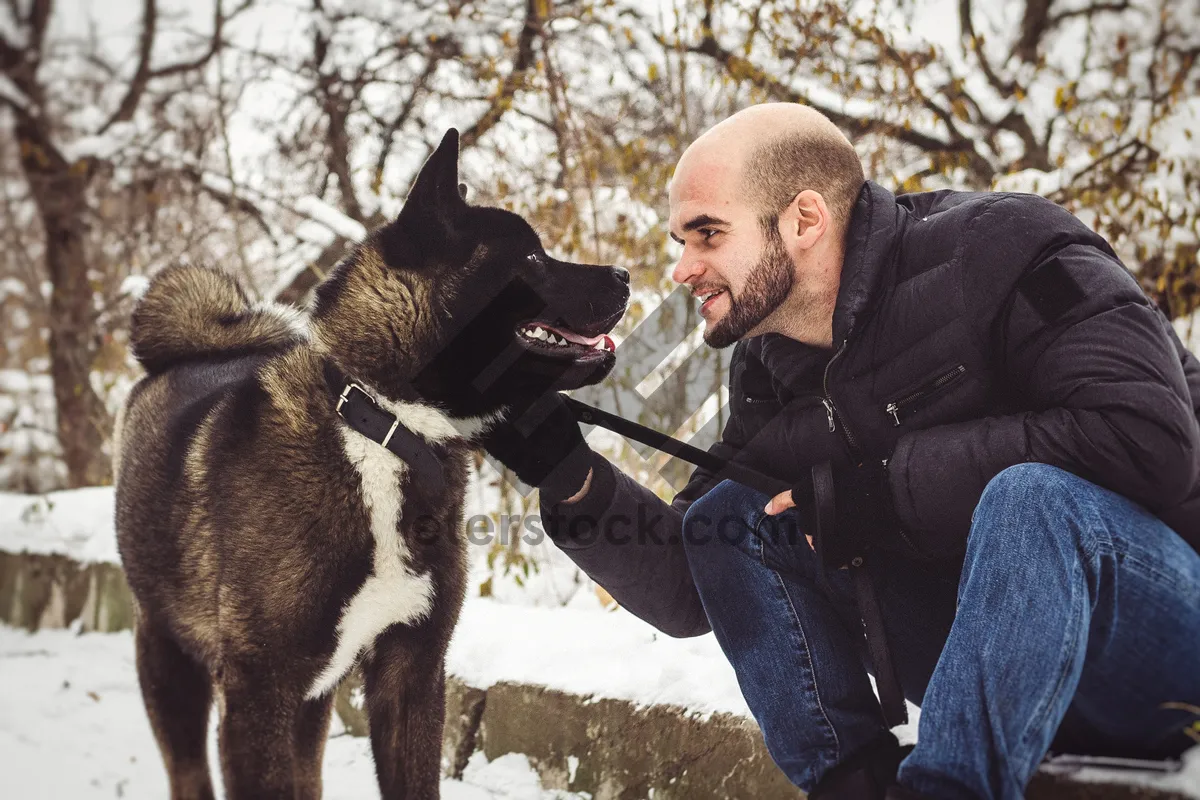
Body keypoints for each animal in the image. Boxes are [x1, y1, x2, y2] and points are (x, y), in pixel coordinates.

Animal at [114, 131, 628, 800]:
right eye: (534, 258)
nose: (624, 274)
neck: (385, 428)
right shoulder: (256, 693)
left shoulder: (412, 676)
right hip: (170, 664)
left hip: (311, 703)